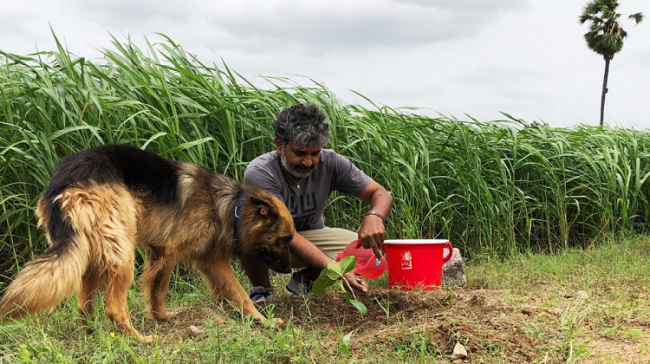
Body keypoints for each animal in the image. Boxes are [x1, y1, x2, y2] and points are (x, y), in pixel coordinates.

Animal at [0, 144, 294, 342]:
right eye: (285, 239)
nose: (290, 270)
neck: (232, 207)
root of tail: (63, 182)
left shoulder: (187, 258)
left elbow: (163, 290)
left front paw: (161, 316)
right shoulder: (173, 253)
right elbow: (166, 287)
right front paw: (265, 321)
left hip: (92, 255)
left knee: (84, 305)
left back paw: (94, 335)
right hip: (121, 256)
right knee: (114, 309)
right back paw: (138, 339)